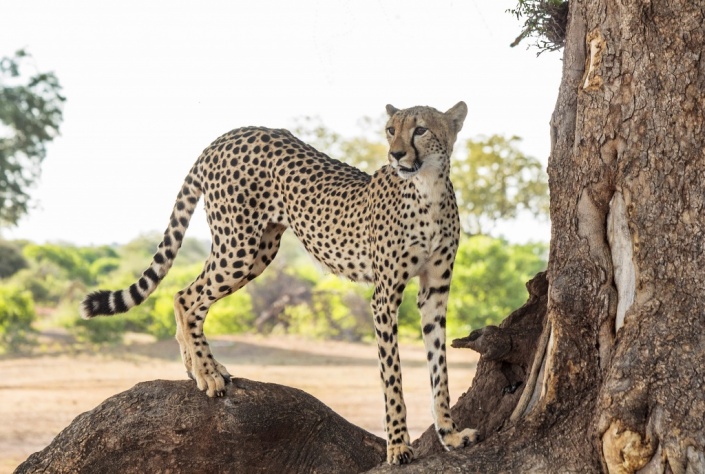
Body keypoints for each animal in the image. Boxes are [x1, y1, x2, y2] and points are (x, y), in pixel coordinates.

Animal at [80, 101, 478, 464]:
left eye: (420, 129)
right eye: (390, 130)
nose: (395, 154)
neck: (428, 189)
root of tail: (229, 134)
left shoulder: (434, 293)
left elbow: (439, 369)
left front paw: (449, 434)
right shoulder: (384, 298)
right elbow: (392, 378)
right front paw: (397, 445)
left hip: (258, 251)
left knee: (188, 294)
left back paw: (197, 369)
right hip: (238, 246)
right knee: (186, 298)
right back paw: (207, 373)